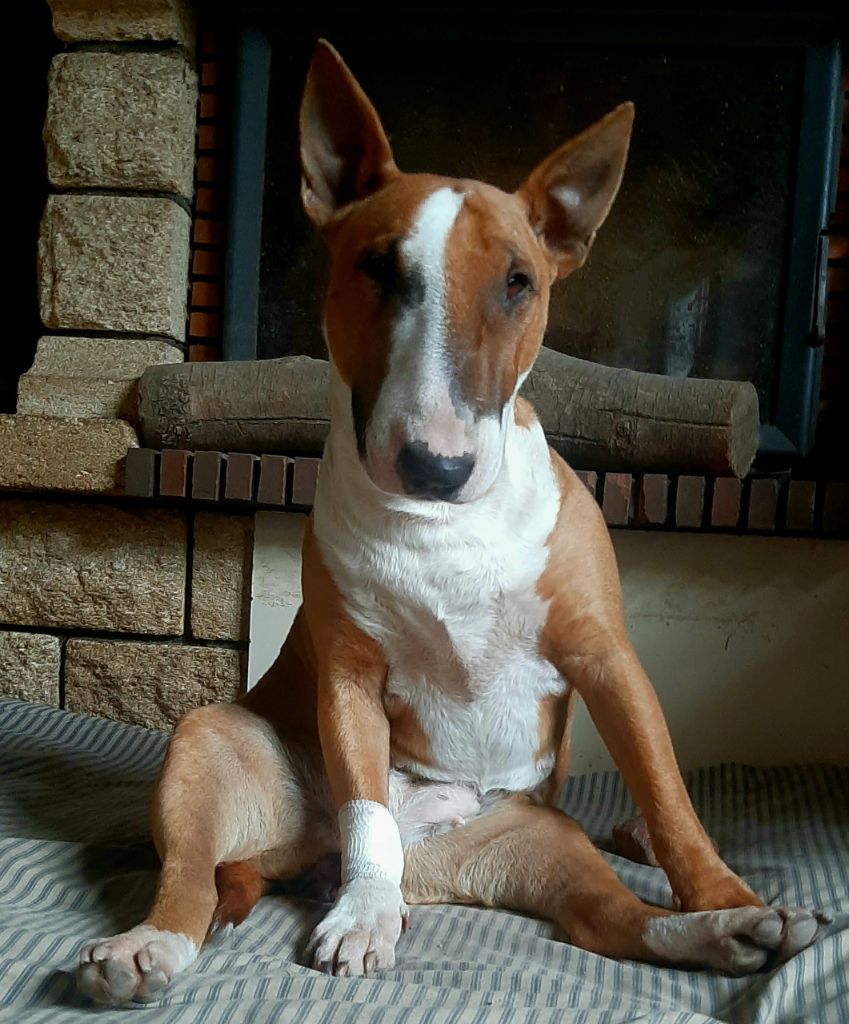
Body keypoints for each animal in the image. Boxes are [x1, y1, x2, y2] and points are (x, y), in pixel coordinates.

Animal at [77, 41, 827, 1007]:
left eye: (519, 281)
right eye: (377, 267)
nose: (436, 467)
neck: (443, 532)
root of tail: (306, 862)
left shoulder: (606, 657)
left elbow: (667, 798)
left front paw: (727, 890)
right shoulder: (349, 678)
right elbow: (363, 801)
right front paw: (363, 917)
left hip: (539, 841)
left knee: (613, 921)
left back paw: (732, 931)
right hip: (213, 741)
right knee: (196, 877)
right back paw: (160, 945)